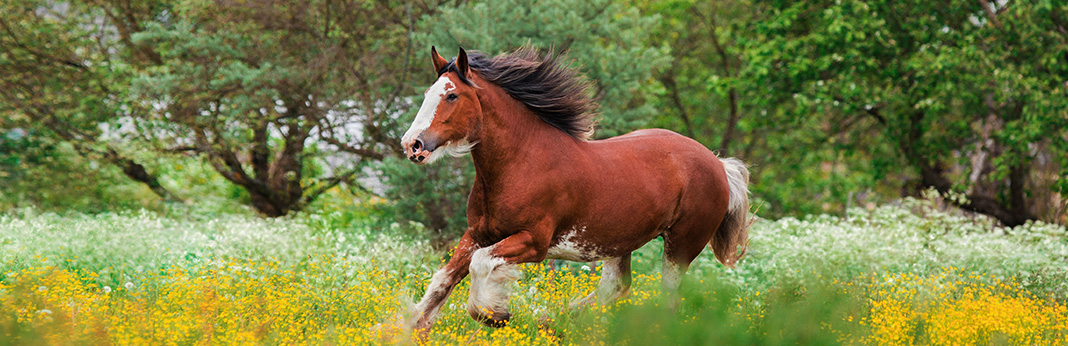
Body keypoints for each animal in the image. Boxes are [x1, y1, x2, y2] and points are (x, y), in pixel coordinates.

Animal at [401, 45, 751, 333]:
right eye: (428, 93)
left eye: (451, 96)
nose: (412, 144)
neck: (521, 162)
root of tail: (719, 165)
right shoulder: (477, 234)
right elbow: (442, 281)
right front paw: (414, 328)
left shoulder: (534, 242)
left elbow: (481, 264)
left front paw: (492, 314)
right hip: (618, 241)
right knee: (617, 286)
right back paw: (559, 320)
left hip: (681, 245)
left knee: (668, 298)